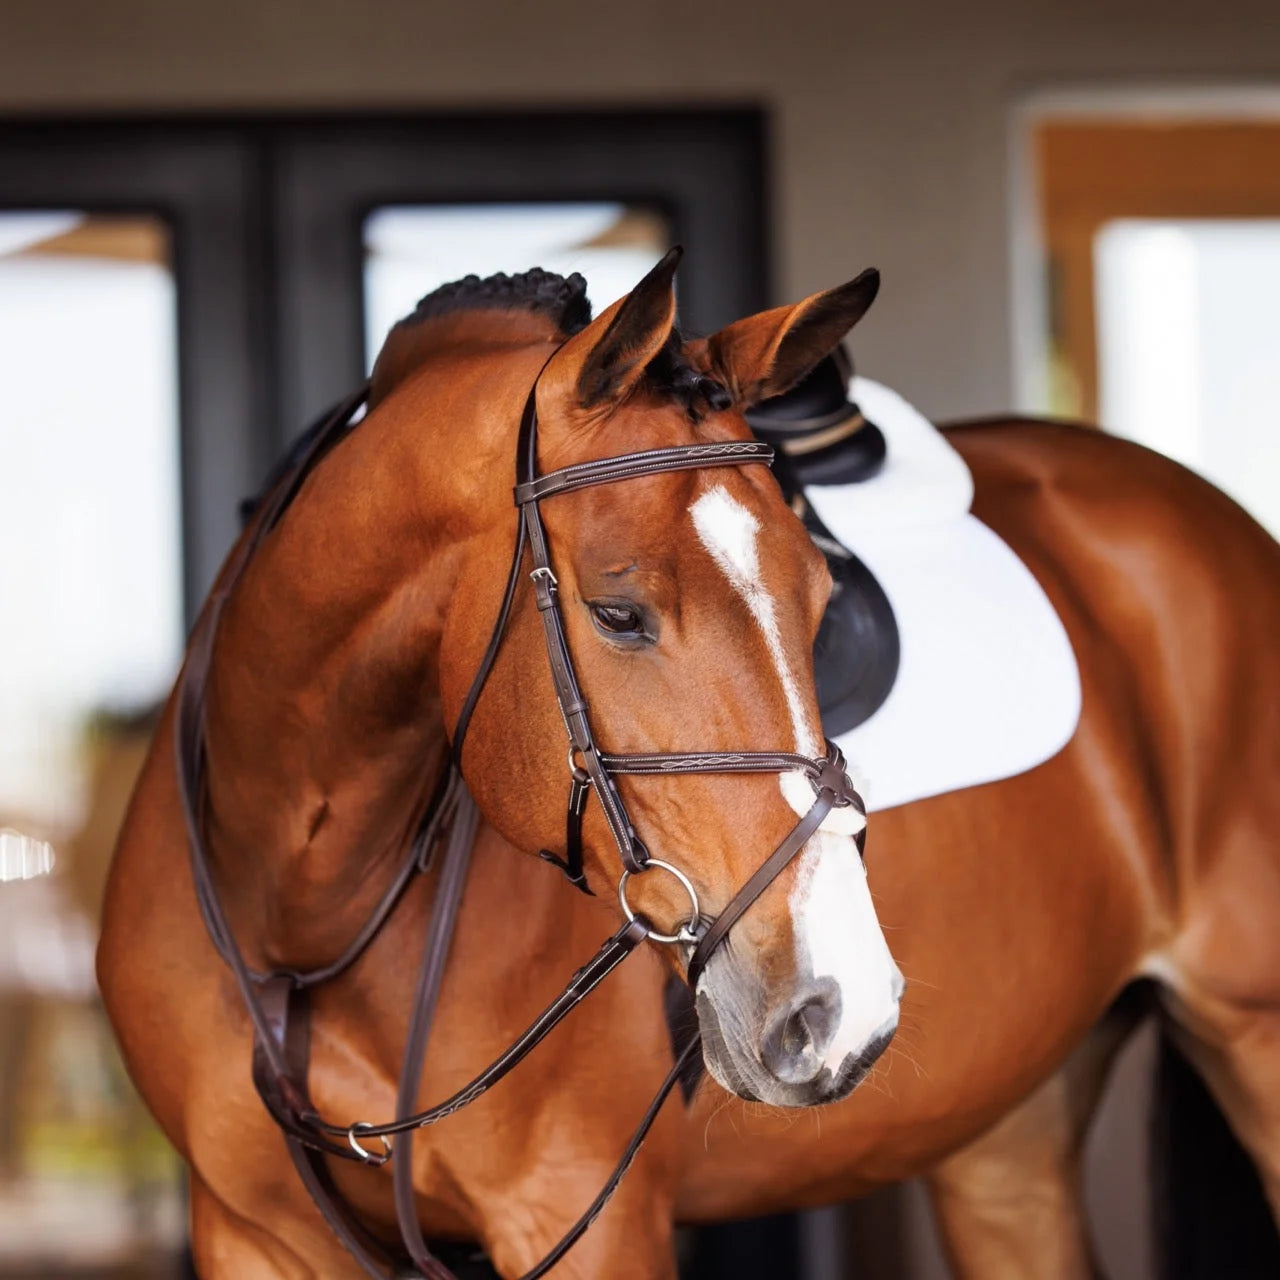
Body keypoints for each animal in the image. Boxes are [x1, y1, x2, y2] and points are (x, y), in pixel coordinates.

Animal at [97, 252, 1280, 1279]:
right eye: (617, 612)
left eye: (821, 599)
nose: (835, 1007)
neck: (307, 913)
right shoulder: (252, 1232)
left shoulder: (584, 1218)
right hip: (1006, 1120)